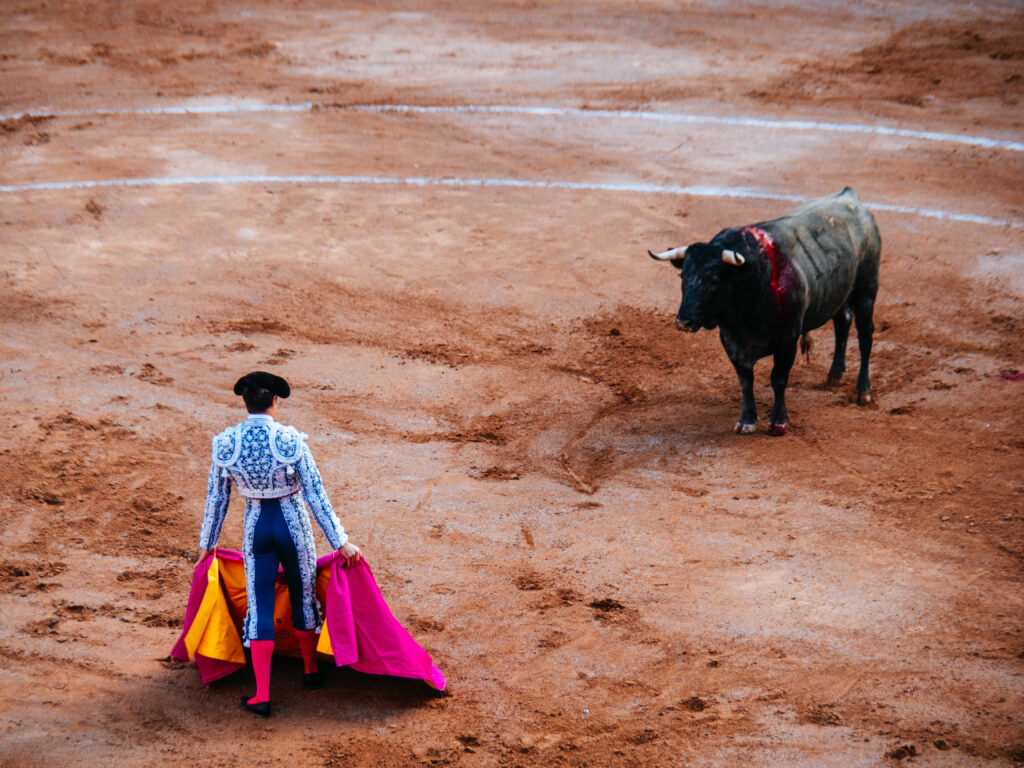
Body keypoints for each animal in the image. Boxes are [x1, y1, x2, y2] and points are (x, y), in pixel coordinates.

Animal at [647, 188, 880, 436]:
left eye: (714, 279)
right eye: (683, 276)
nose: (683, 321)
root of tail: (849, 196)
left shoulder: (787, 340)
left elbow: (778, 378)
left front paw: (778, 421)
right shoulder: (730, 340)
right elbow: (745, 381)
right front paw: (747, 420)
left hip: (866, 290)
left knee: (865, 337)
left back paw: (863, 391)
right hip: (839, 292)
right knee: (843, 322)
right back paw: (835, 375)